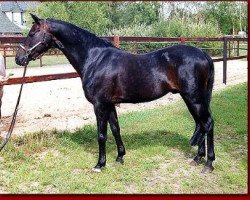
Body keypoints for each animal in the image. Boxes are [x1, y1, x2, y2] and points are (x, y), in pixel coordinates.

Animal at [15, 14, 215, 173]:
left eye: (32, 33)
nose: (19, 58)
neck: (95, 59)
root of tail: (204, 55)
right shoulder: (110, 104)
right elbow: (115, 129)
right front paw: (120, 157)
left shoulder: (99, 105)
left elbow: (101, 135)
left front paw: (99, 164)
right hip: (193, 99)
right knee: (201, 124)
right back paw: (198, 158)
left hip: (194, 99)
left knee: (207, 123)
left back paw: (208, 164)